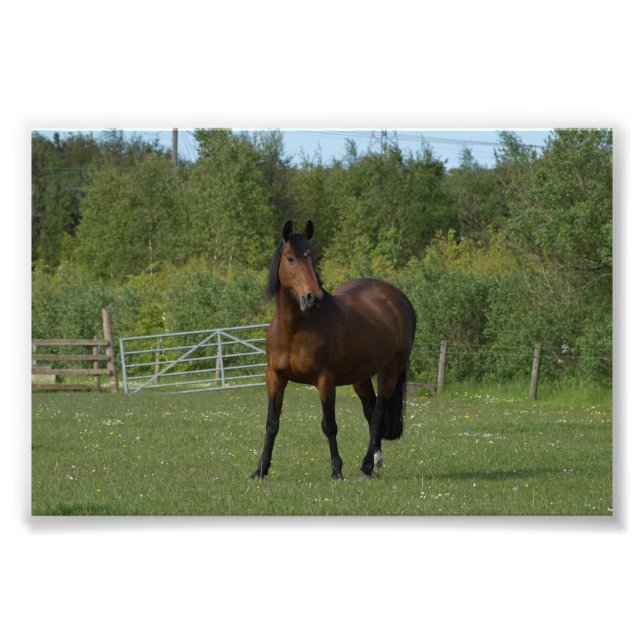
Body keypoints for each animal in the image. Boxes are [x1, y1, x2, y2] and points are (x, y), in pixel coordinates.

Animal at [250, 220, 416, 480]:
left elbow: (329, 425)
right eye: (290, 258)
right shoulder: (274, 377)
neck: (295, 330)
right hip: (360, 377)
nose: (313, 297)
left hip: (390, 370)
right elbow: (272, 423)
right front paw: (260, 470)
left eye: (313, 257)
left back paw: (366, 466)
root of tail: (399, 299)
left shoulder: (325, 380)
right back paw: (374, 464)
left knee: (378, 414)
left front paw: (336, 470)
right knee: (370, 410)